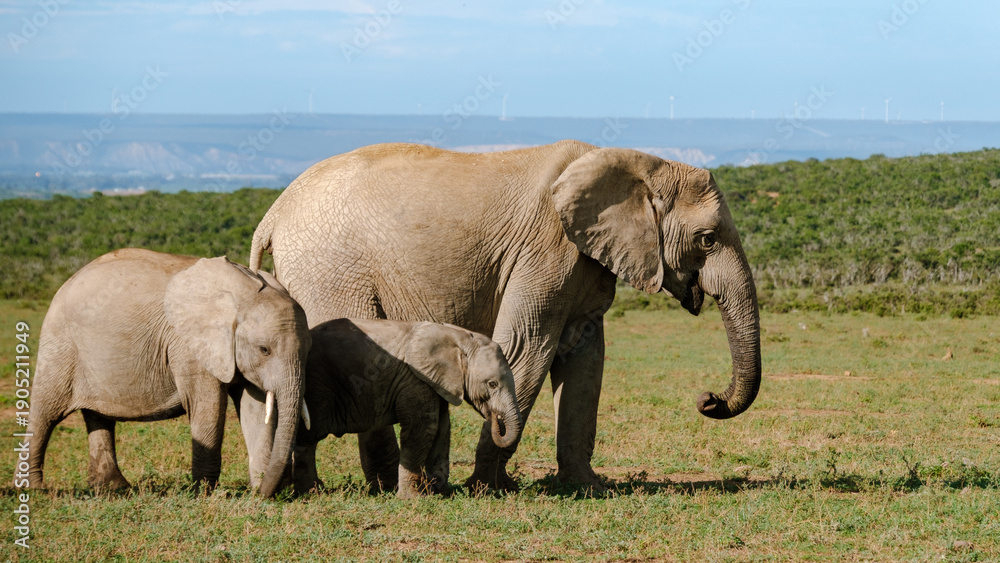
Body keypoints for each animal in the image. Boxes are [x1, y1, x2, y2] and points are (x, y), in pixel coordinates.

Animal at [26, 248, 311, 497]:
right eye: (265, 349)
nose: (264, 494)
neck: (245, 292)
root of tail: (66, 282)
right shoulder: (188, 346)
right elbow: (207, 405)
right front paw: (204, 494)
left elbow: (255, 408)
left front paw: (259, 489)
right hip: (60, 344)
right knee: (46, 413)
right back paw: (35, 490)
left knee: (99, 417)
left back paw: (114, 489)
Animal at [292, 318, 522, 498]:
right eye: (492, 384)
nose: (494, 417)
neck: (459, 337)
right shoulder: (416, 379)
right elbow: (423, 427)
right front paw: (414, 498)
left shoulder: (436, 382)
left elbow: (442, 427)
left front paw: (437, 491)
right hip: (317, 384)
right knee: (308, 437)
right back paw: (311, 492)